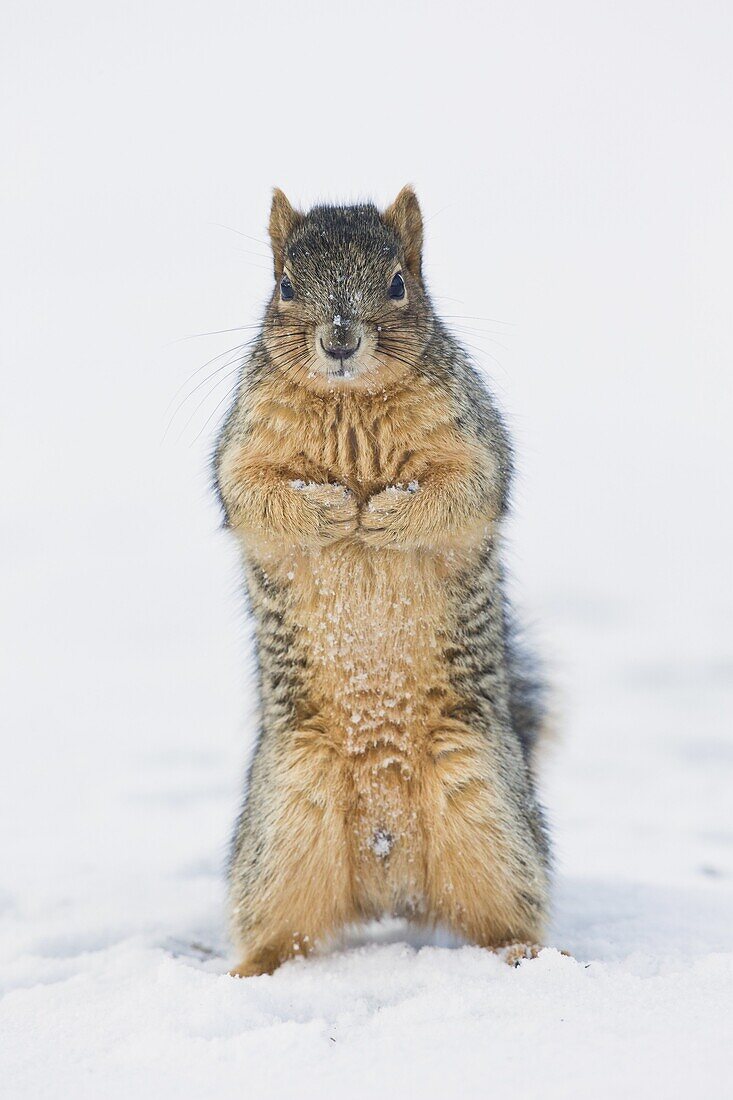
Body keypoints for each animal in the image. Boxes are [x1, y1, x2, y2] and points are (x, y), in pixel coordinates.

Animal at [211, 184, 548, 976]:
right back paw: (249, 970)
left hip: (486, 808)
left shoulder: (471, 434)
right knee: (281, 924)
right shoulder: (242, 445)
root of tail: (389, 874)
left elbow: (465, 488)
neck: (351, 405)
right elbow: (251, 492)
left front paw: (387, 515)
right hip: (285, 820)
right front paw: (332, 509)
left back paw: (523, 954)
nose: (339, 339)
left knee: (508, 906)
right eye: (285, 286)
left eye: (398, 284)